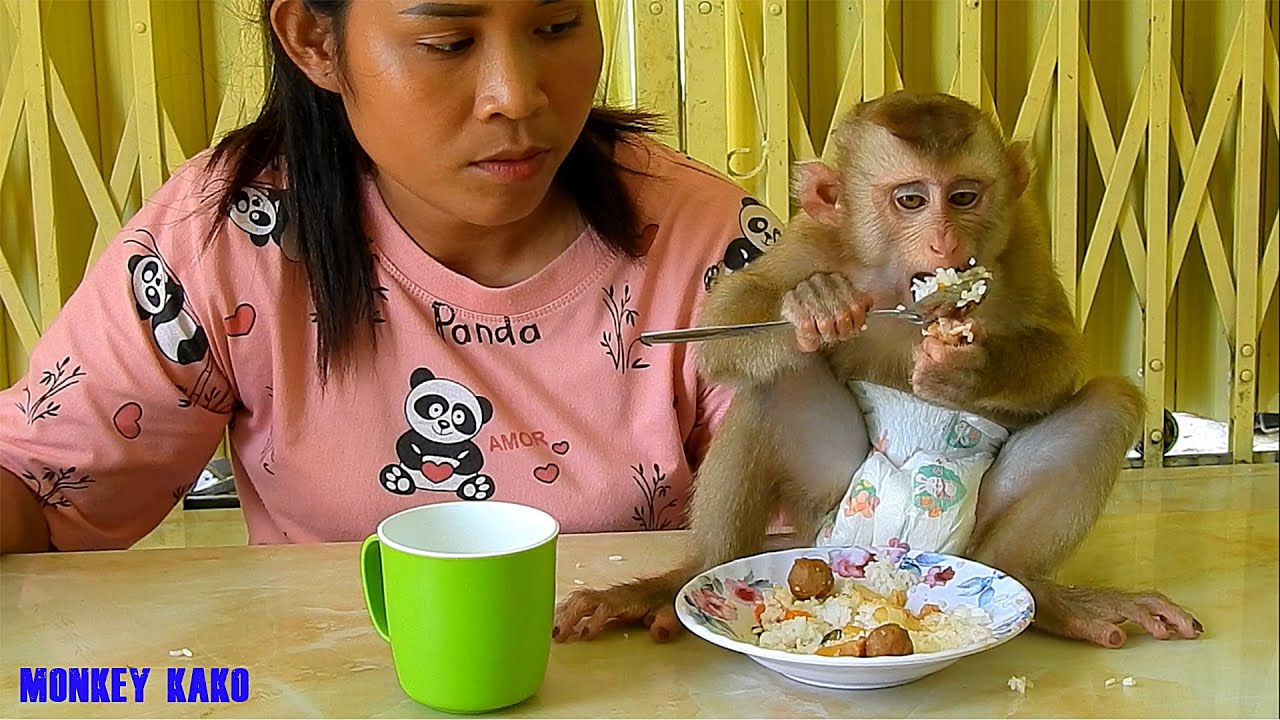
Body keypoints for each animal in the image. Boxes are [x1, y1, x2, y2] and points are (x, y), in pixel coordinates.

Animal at [553, 91, 1203, 650]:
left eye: (964, 196)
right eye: (911, 200)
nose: (945, 243)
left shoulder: (1025, 237)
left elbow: (1063, 355)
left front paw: (972, 370)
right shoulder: (815, 242)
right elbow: (728, 320)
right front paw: (812, 304)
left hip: (970, 536)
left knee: (1108, 406)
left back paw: (1040, 593)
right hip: (831, 510)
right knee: (776, 378)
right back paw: (691, 575)